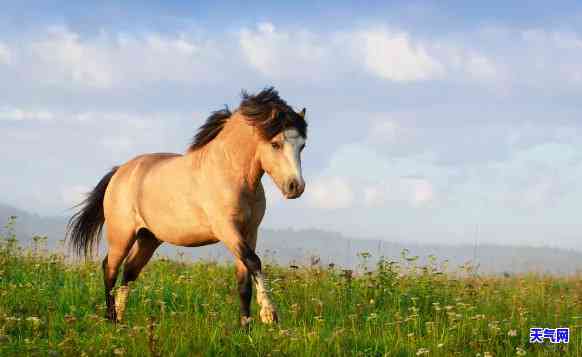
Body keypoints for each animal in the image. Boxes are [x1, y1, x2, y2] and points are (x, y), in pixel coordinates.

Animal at [66, 87, 308, 326]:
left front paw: (246, 329)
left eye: (302, 146)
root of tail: (120, 171)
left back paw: (120, 320)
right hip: (121, 235)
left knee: (129, 271)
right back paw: (111, 320)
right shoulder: (226, 229)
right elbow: (254, 261)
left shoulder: (250, 232)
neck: (229, 173)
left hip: (148, 238)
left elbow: (244, 282)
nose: (296, 187)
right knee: (110, 269)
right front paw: (269, 314)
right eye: (275, 144)